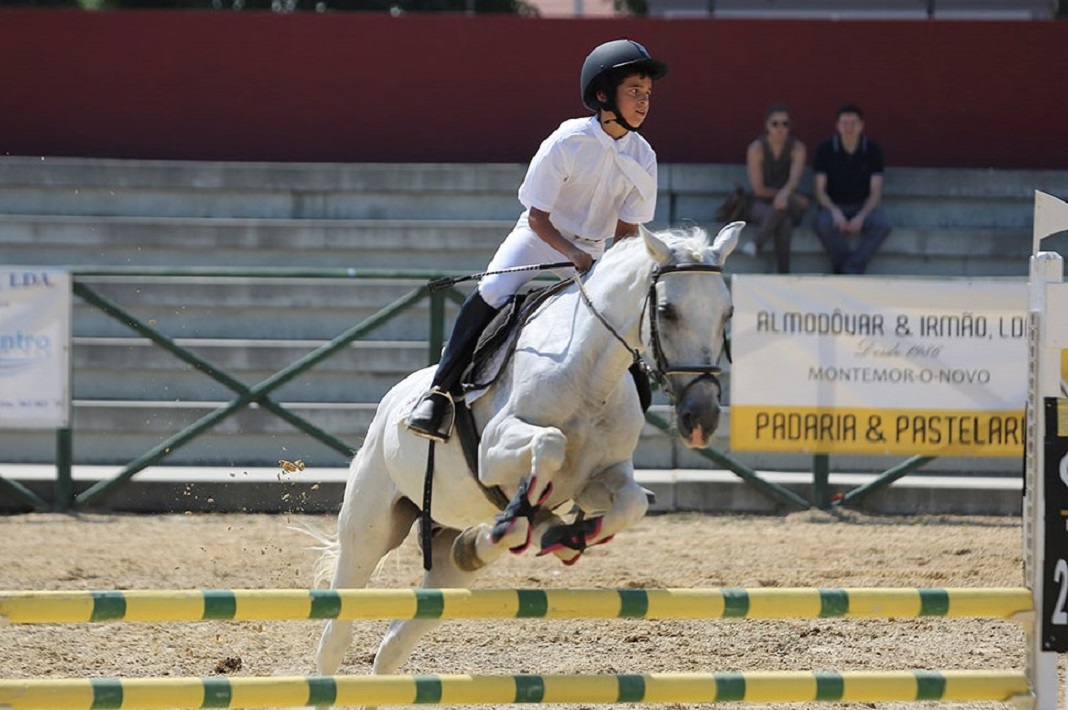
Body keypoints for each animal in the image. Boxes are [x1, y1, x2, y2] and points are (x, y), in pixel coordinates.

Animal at [311, 219, 739, 683]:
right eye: (666, 311)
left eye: (727, 313)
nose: (701, 418)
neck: (589, 374)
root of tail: (391, 402)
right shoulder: (494, 450)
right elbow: (549, 443)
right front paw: (536, 518)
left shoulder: (602, 475)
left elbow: (631, 504)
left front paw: (570, 534)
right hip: (369, 527)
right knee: (338, 627)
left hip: (444, 559)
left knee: (397, 641)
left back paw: (484, 543)